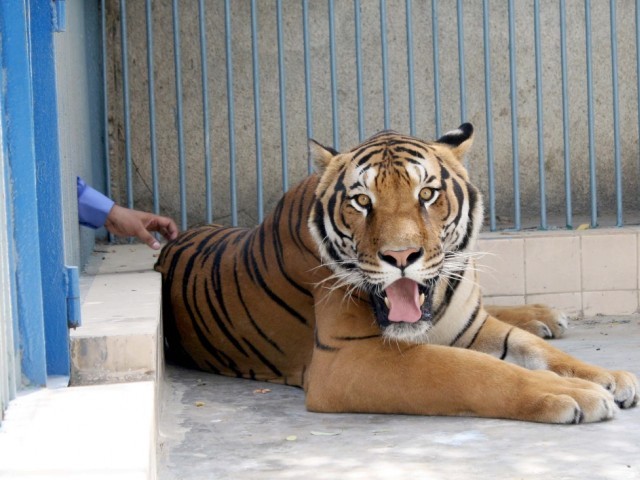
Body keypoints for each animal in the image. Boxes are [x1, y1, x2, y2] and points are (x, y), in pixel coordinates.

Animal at [155, 123, 638, 424]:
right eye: (362, 201)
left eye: (426, 194)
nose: (401, 255)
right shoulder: (347, 359)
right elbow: (474, 372)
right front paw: (572, 393)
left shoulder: (469, 324)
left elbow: (534, 348)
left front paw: (608, 377)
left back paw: (542, 315)